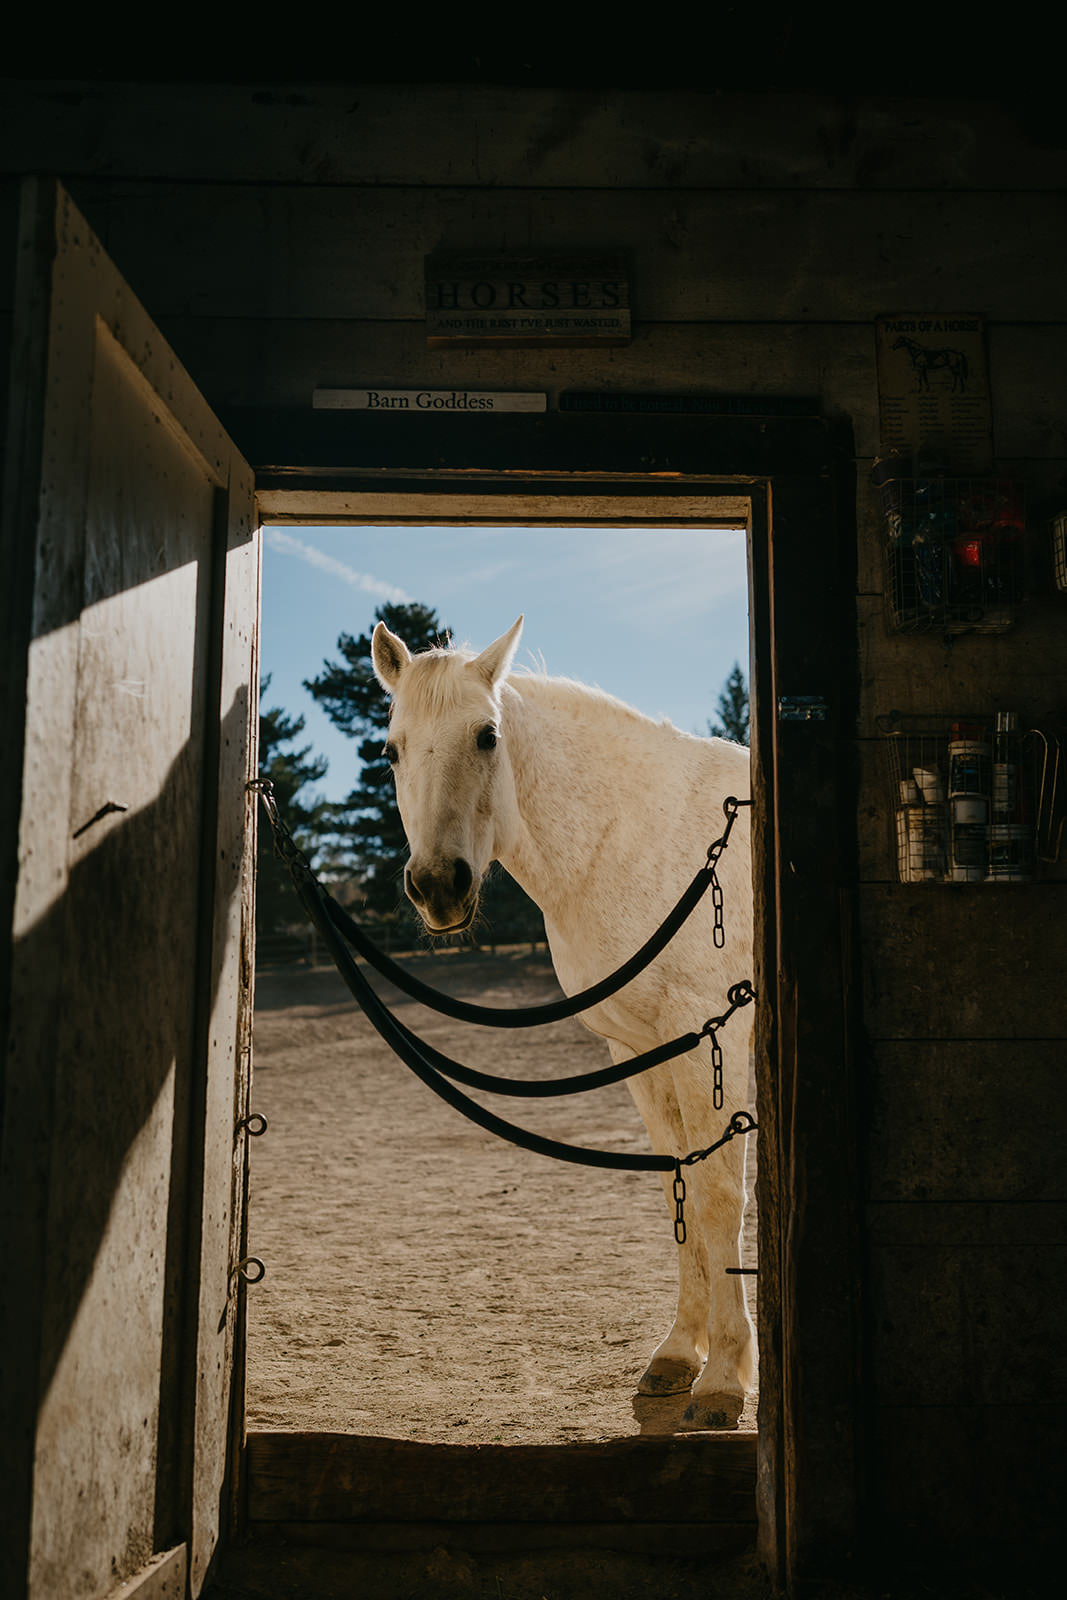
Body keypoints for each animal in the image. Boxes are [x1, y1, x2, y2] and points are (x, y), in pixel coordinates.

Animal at [371, 614, 755, 1429]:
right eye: (391, 748)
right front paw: (680, 1354)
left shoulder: (714, 1038)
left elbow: (717, 1196)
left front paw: (724, 1382)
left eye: (487, 736)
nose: (438, 886)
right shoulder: (642, 1049)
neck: (640, 838)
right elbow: (678, 1186)